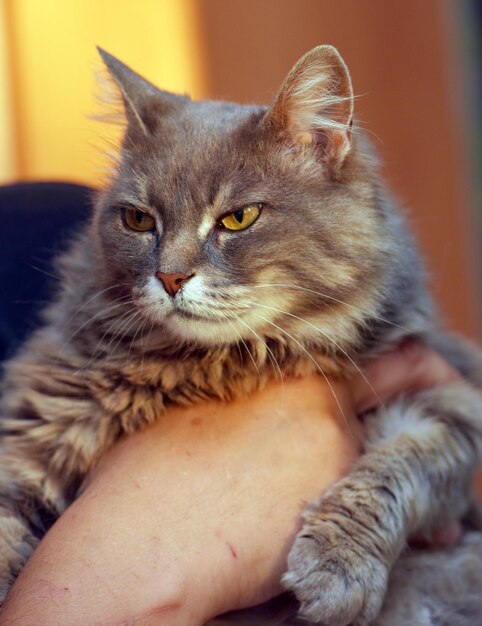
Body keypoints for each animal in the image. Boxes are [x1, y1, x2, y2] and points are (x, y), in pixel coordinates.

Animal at [0, 45, 482, 624]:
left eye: (238, 218)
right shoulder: (38, 424)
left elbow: (397, 473)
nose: (170, 277)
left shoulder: (450, 403)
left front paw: (338, 567)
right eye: (138, 221)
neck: (219, 363)